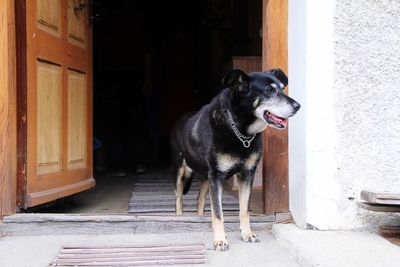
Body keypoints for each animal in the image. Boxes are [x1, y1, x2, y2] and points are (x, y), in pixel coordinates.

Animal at [170, 68, 300, 251]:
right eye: (269, 90)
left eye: (282, 88)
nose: (298, 106)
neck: (240, 130)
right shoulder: (216, 177)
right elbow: (218, 213)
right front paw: (219, 240)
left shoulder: (246, 175)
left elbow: (244, 210)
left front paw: (247, 234)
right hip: (180, 172)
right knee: (179, 200)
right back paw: (181, 216)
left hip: (205, 177)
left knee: (200, 200)